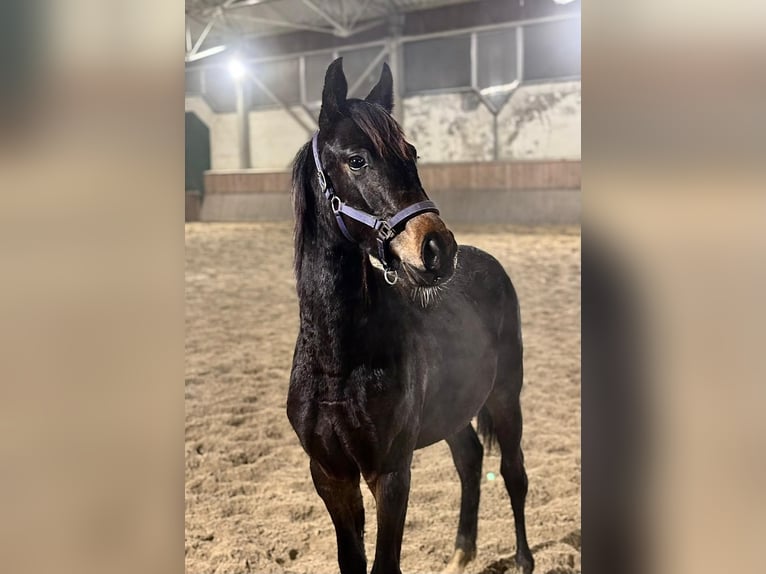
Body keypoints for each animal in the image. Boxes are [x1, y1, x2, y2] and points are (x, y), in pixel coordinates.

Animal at [286, 58, 533, 574]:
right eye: (357, 159)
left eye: (413, 154)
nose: (438, 249)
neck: (339, 362)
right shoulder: (330, 475)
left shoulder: (391, 472)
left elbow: (385, 563)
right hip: (456, 409)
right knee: (470, 461)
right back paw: (460, 554)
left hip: (506, 397)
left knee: (513, 472)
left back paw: (523, 559)